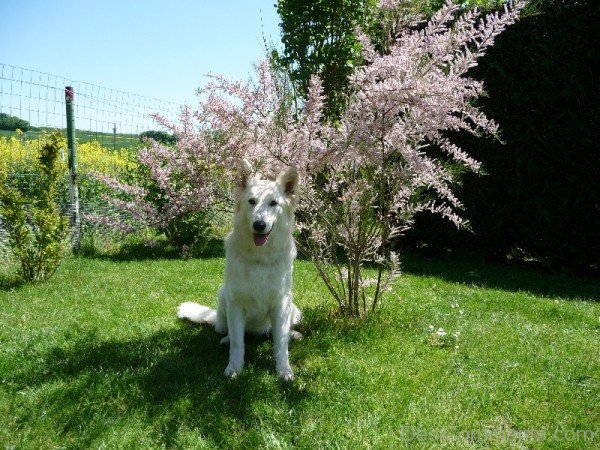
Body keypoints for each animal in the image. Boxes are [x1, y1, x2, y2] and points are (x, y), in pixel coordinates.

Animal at [177, 160, 300, 382]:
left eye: (273, 203)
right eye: (252, 201)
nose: (259, 225)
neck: (259, 257)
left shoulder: (280, 303)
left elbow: (280, 344)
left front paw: (284, 370)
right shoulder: (235, 304)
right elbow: (237, 343)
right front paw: (234, 367)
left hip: (292, 307)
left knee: (279, 332)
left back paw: (292, 334)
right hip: (223, 299)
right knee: (231, 333)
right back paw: (225, 338)